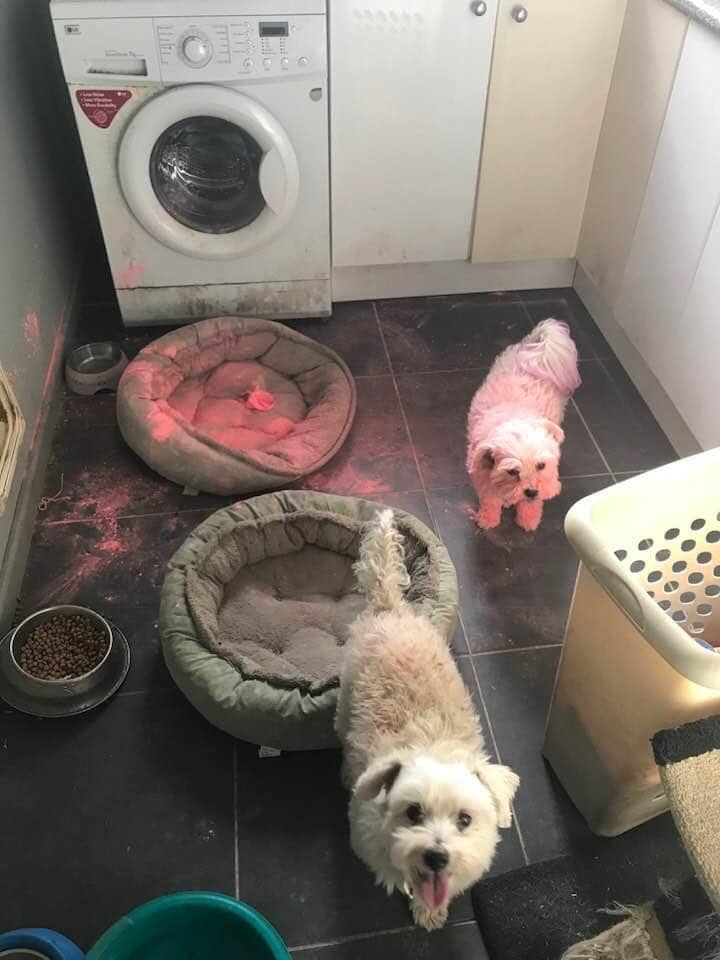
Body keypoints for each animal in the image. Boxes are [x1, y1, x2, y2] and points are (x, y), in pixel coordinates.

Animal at [334, 510, 520, 928]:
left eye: (465, 820)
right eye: (413, 812)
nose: (437, 856)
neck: (432, 744)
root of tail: (392, 606)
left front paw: (429, 909)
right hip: (347, 690)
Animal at [466, 320, 580, 532]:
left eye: (541, 465)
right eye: (513, 471)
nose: (531, 491)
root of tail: (537, 350)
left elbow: (532, 505)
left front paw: (528, 519)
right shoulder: (483, 476)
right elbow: (490, 499)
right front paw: (488, 520)